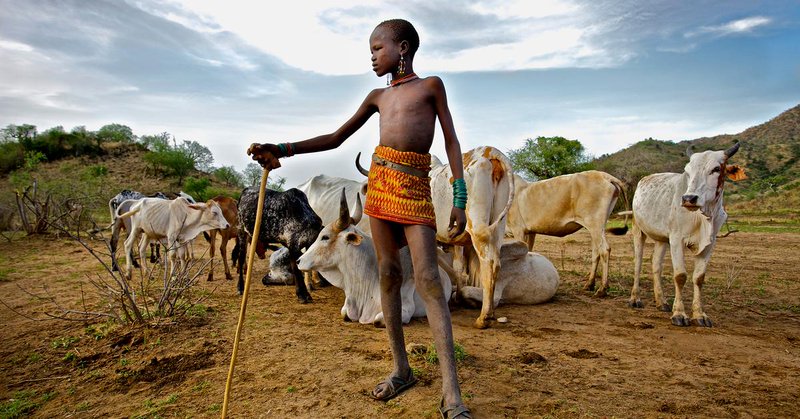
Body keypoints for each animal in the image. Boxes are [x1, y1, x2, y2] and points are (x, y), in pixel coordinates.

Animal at [628, 142, 747, 327]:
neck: (703, 216)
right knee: (638, 262)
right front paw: (679, 314)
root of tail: (643, 180)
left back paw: (661, 301)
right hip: (638, 230)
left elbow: (699, 278)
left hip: (662, 239)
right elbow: (680, 276)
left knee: (656, 265)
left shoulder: (709, 244)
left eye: (716, 169)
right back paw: (635, 299)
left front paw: (699, 315)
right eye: (688, 170)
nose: (689, 198)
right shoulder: (677, 240)